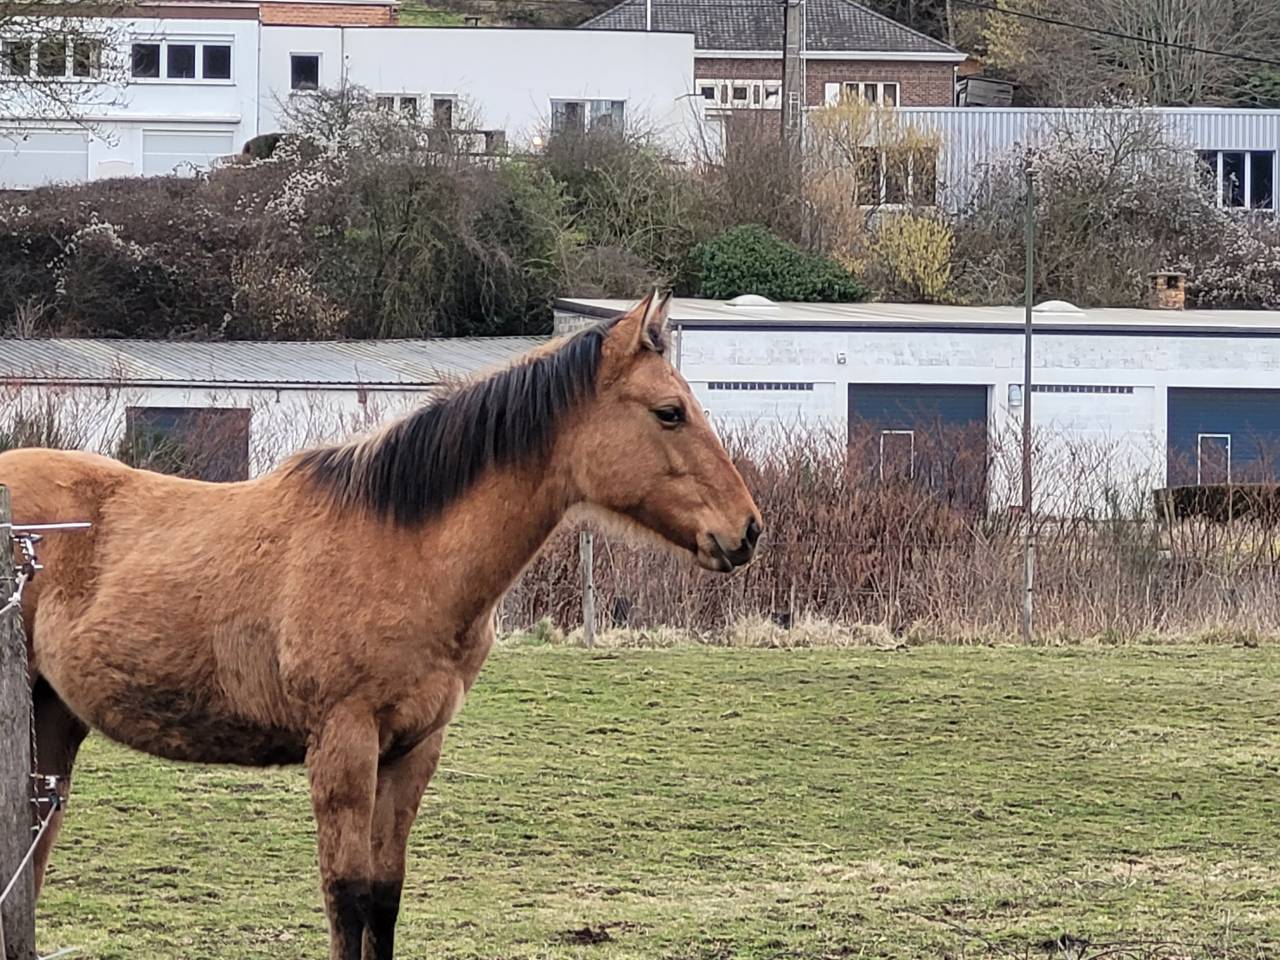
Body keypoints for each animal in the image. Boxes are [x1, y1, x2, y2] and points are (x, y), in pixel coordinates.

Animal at [0, 291, 763, 960]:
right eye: (669, 412)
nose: (747, 531)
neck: (404, 549)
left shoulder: (413, 749)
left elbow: (386, 898)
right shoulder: (344, 742)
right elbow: (348, 898)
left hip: (54, 720)